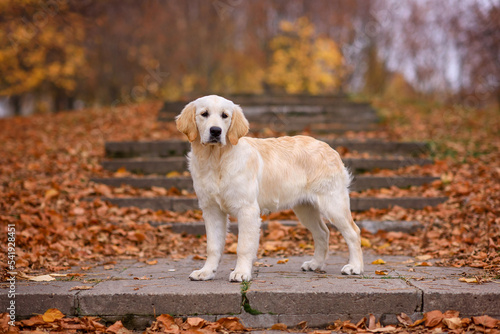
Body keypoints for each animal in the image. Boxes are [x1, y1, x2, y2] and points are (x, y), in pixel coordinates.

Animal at [176, 94, 364, 282]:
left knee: (353, 232)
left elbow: (243, 246)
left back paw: (355, 267)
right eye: (204, 114)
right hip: (305, 208)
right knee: (322, 233)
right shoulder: (211, 210)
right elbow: (213, 246)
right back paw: (315, 264)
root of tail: (331, 149)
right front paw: (206, 272)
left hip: (333, 203)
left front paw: (241, 272)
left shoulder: (248, 210)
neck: (216, 160)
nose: (215, 131)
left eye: (225, 115)